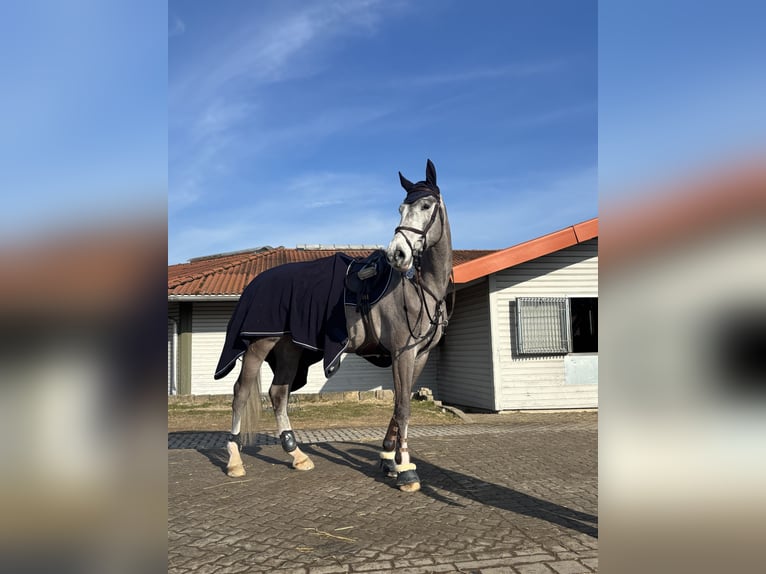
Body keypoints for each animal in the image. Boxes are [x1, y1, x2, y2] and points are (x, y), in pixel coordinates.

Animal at [222, 160, 452, 492]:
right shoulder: (402, 353)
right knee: (240, 392)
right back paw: (234, 459)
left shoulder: (419, 355)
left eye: (425, 205)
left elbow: (401, 401)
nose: (397, 253)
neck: (421, 290)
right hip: (259, 345)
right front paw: (406, 469)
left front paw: (388, 458)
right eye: (400, 208)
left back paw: (297, 455)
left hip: (290, 349)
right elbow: (403, 408)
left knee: (279, 393)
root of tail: (256, 282)